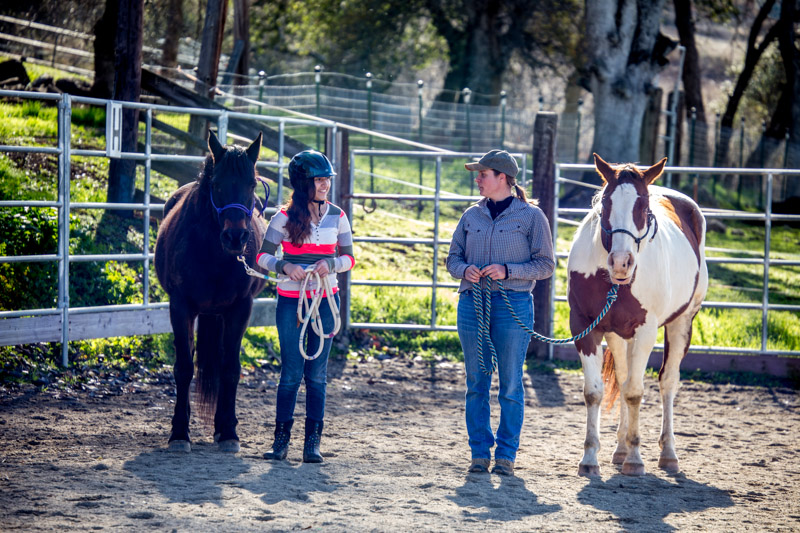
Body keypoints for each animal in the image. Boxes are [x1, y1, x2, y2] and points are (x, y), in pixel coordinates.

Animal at [156, 131, 268, 450]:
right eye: (217, 184)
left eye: (252, 184)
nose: (236, 236)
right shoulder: (180, 306)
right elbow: (183, 367)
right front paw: (179, 433)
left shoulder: (240, 309)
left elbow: (230, 368)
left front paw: (228, 431)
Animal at [564, 153, 708, 474]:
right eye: (605, 202)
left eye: (643, 206)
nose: (621, 262)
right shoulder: (585, 327)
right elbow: (595, 391)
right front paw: (590, 458)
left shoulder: (645, 332)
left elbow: (634, 392)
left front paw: (635, 458)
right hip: (618, 336)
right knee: (623, 376)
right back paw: (619, 449)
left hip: (681, 323)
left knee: (667, 382)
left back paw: (668, 454)